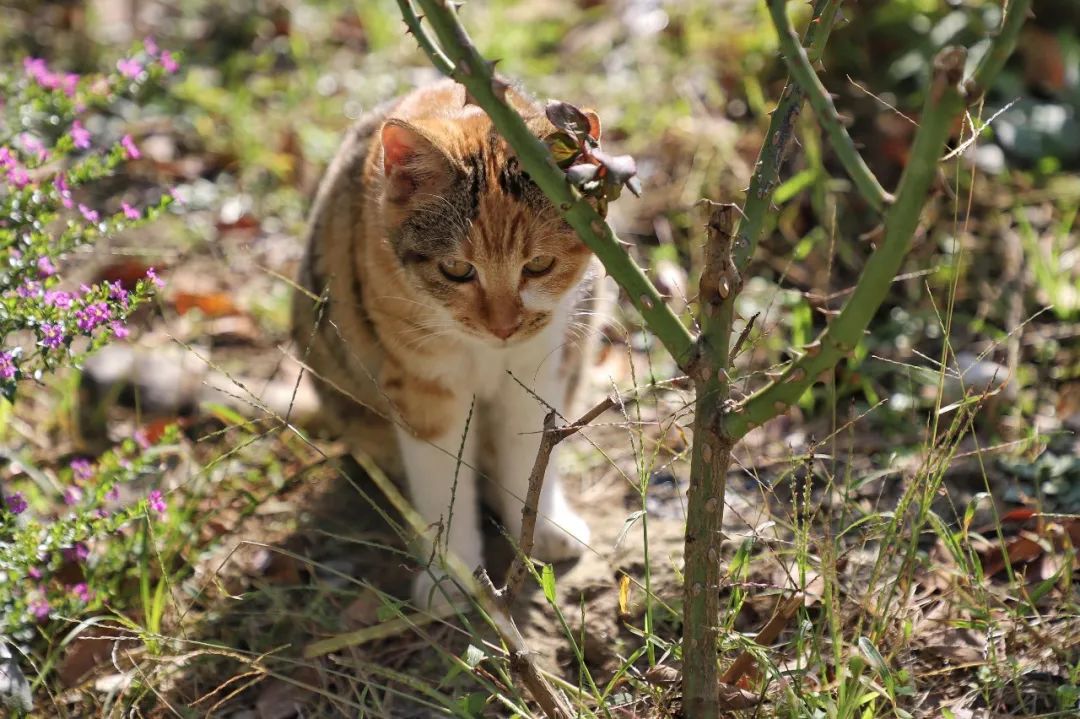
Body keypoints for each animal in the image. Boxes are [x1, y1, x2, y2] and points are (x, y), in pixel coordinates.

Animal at [291, 78, 613, 604]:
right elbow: (444, 483)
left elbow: (530, 457)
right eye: (457, 270)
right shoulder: (422, 386)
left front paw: (539, 529)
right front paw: (451, 575)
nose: (503, 326)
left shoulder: (537, 367)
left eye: (539, 265)